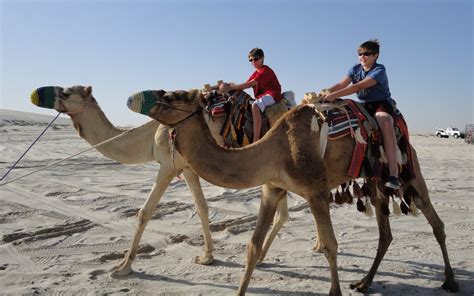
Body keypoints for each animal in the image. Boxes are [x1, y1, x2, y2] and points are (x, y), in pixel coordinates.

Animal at [30, 85, 292, 278]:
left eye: (66, 92)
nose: (35, 93)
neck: (152, 134)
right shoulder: (187, 168)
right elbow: (202, 207)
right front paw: (207, 256)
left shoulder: (168, 165)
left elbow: (144, 212)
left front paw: (123, 267)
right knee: (283, 213)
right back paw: (262, 257)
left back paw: (263, 256)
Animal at [127, 88, 460, 296]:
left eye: (174, 94)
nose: (133, 98)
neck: (277, 149)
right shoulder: (272, 188)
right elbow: (252, 247)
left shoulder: (315, 191)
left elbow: (330, 246)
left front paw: (334, 291)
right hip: (374, 183)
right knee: (386, 234)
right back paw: (364, 283)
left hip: (410, 173)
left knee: (436, 223)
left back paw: (450, 281)